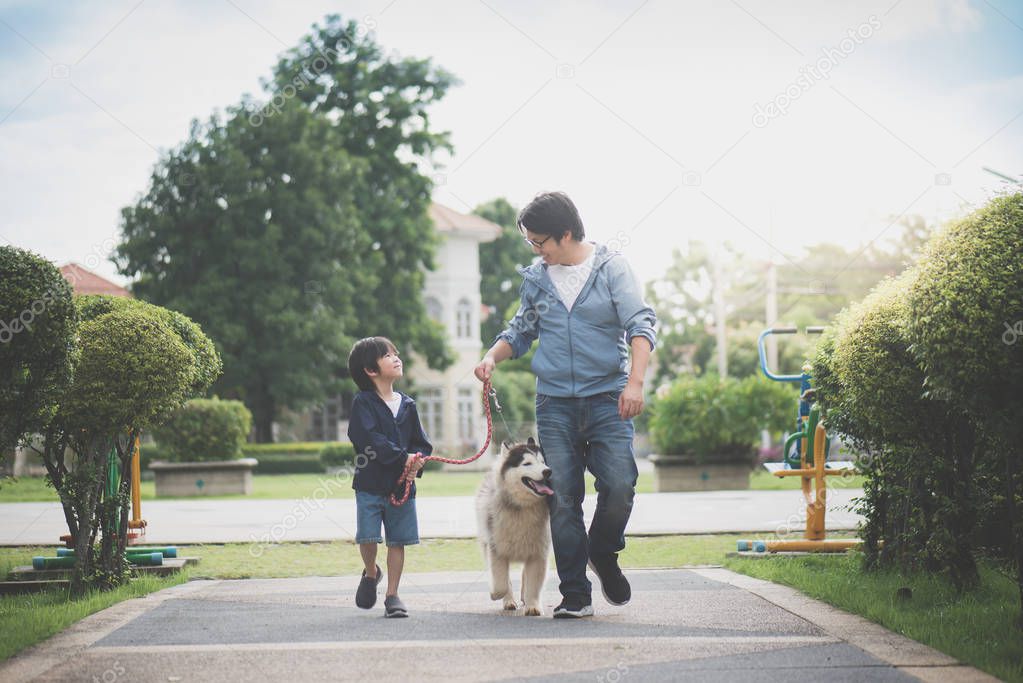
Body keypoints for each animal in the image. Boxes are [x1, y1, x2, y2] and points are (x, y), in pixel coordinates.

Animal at [476, 439, 556, 617]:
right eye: (527, 463)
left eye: (543, 462)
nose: (548, 471)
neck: (522, 507)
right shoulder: (497, 550)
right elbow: (501, 582)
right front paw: (496, 594)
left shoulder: (538, 552)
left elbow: (534, 582)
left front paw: (533, 605)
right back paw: (509, 601)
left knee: (525, 575)